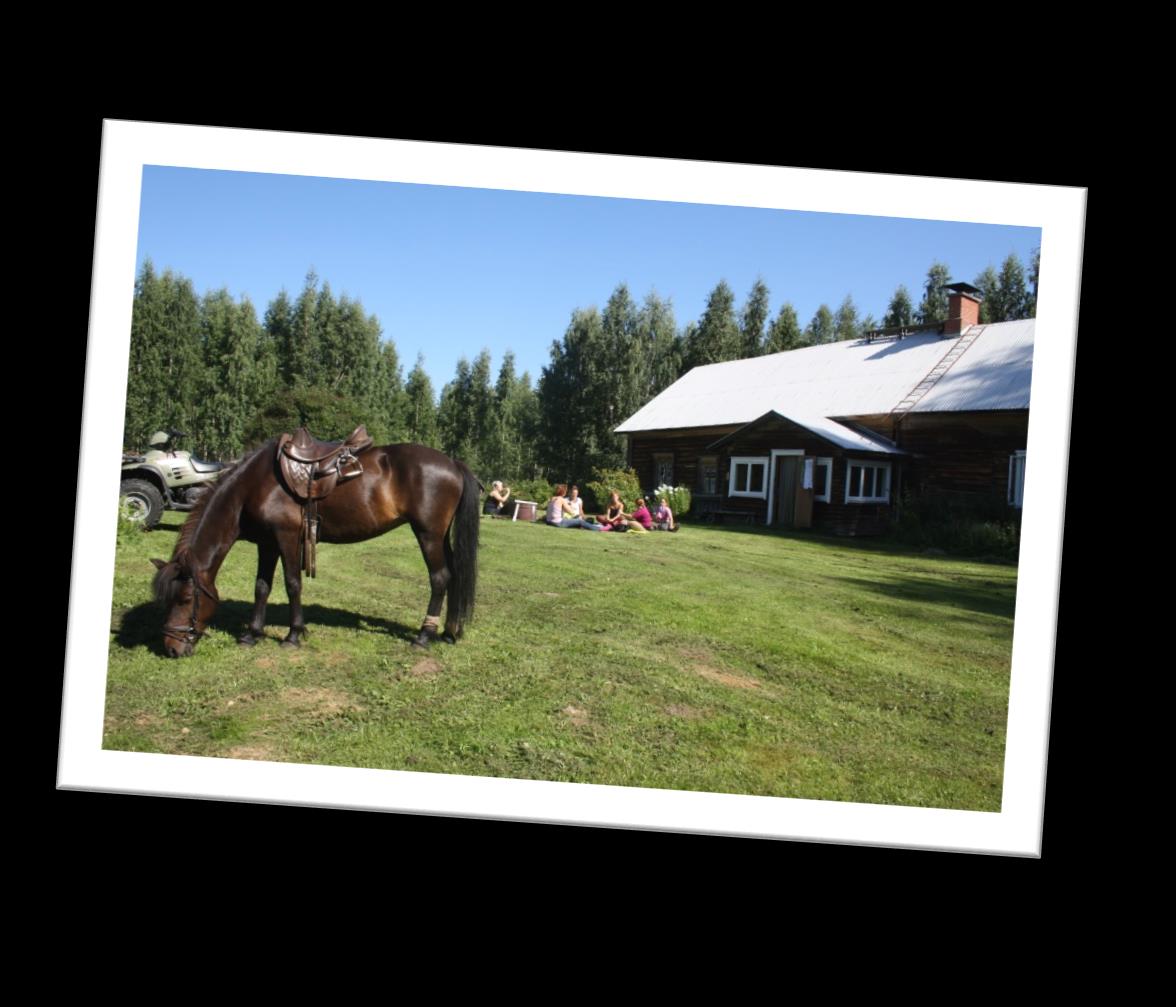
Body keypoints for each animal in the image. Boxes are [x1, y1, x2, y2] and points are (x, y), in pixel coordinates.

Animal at [152, 437, 482, 658]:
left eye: (184, 599)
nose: (170, 649)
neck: (253, 485)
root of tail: (453, 463)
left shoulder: (286, 537)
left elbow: (292, 583)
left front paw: (293, 635)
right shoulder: (267, 543)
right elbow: (261, 586)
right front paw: (252, 634)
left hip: (427, 534)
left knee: (439, 578)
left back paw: (424, 635)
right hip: (440, 536)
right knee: (454, 576)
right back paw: (449, 632)